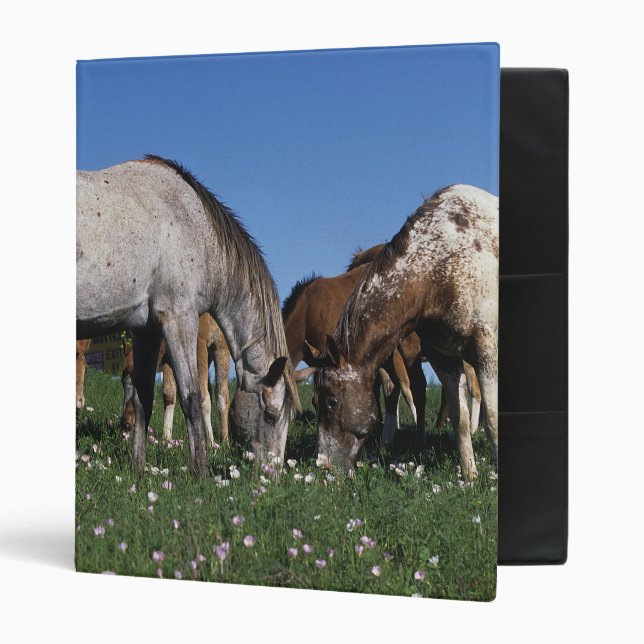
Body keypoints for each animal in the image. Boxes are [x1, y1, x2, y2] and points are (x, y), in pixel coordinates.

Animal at [121, 313, 231, 447]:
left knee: (221, 395)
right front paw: (166, 439)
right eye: (122, 382)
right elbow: (169, 394)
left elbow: (204, 397)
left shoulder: (199, 343)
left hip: (220, 346)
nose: (125, 423)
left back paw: (224, 440)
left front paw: (210, 443)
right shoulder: (168, 357)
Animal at [315, 185, 498, 480]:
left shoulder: (484, 348)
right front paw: (470, 478)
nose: (324, 465)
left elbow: (492, 419)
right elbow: (459, 421)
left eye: (331, 401)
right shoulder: (443, 357)